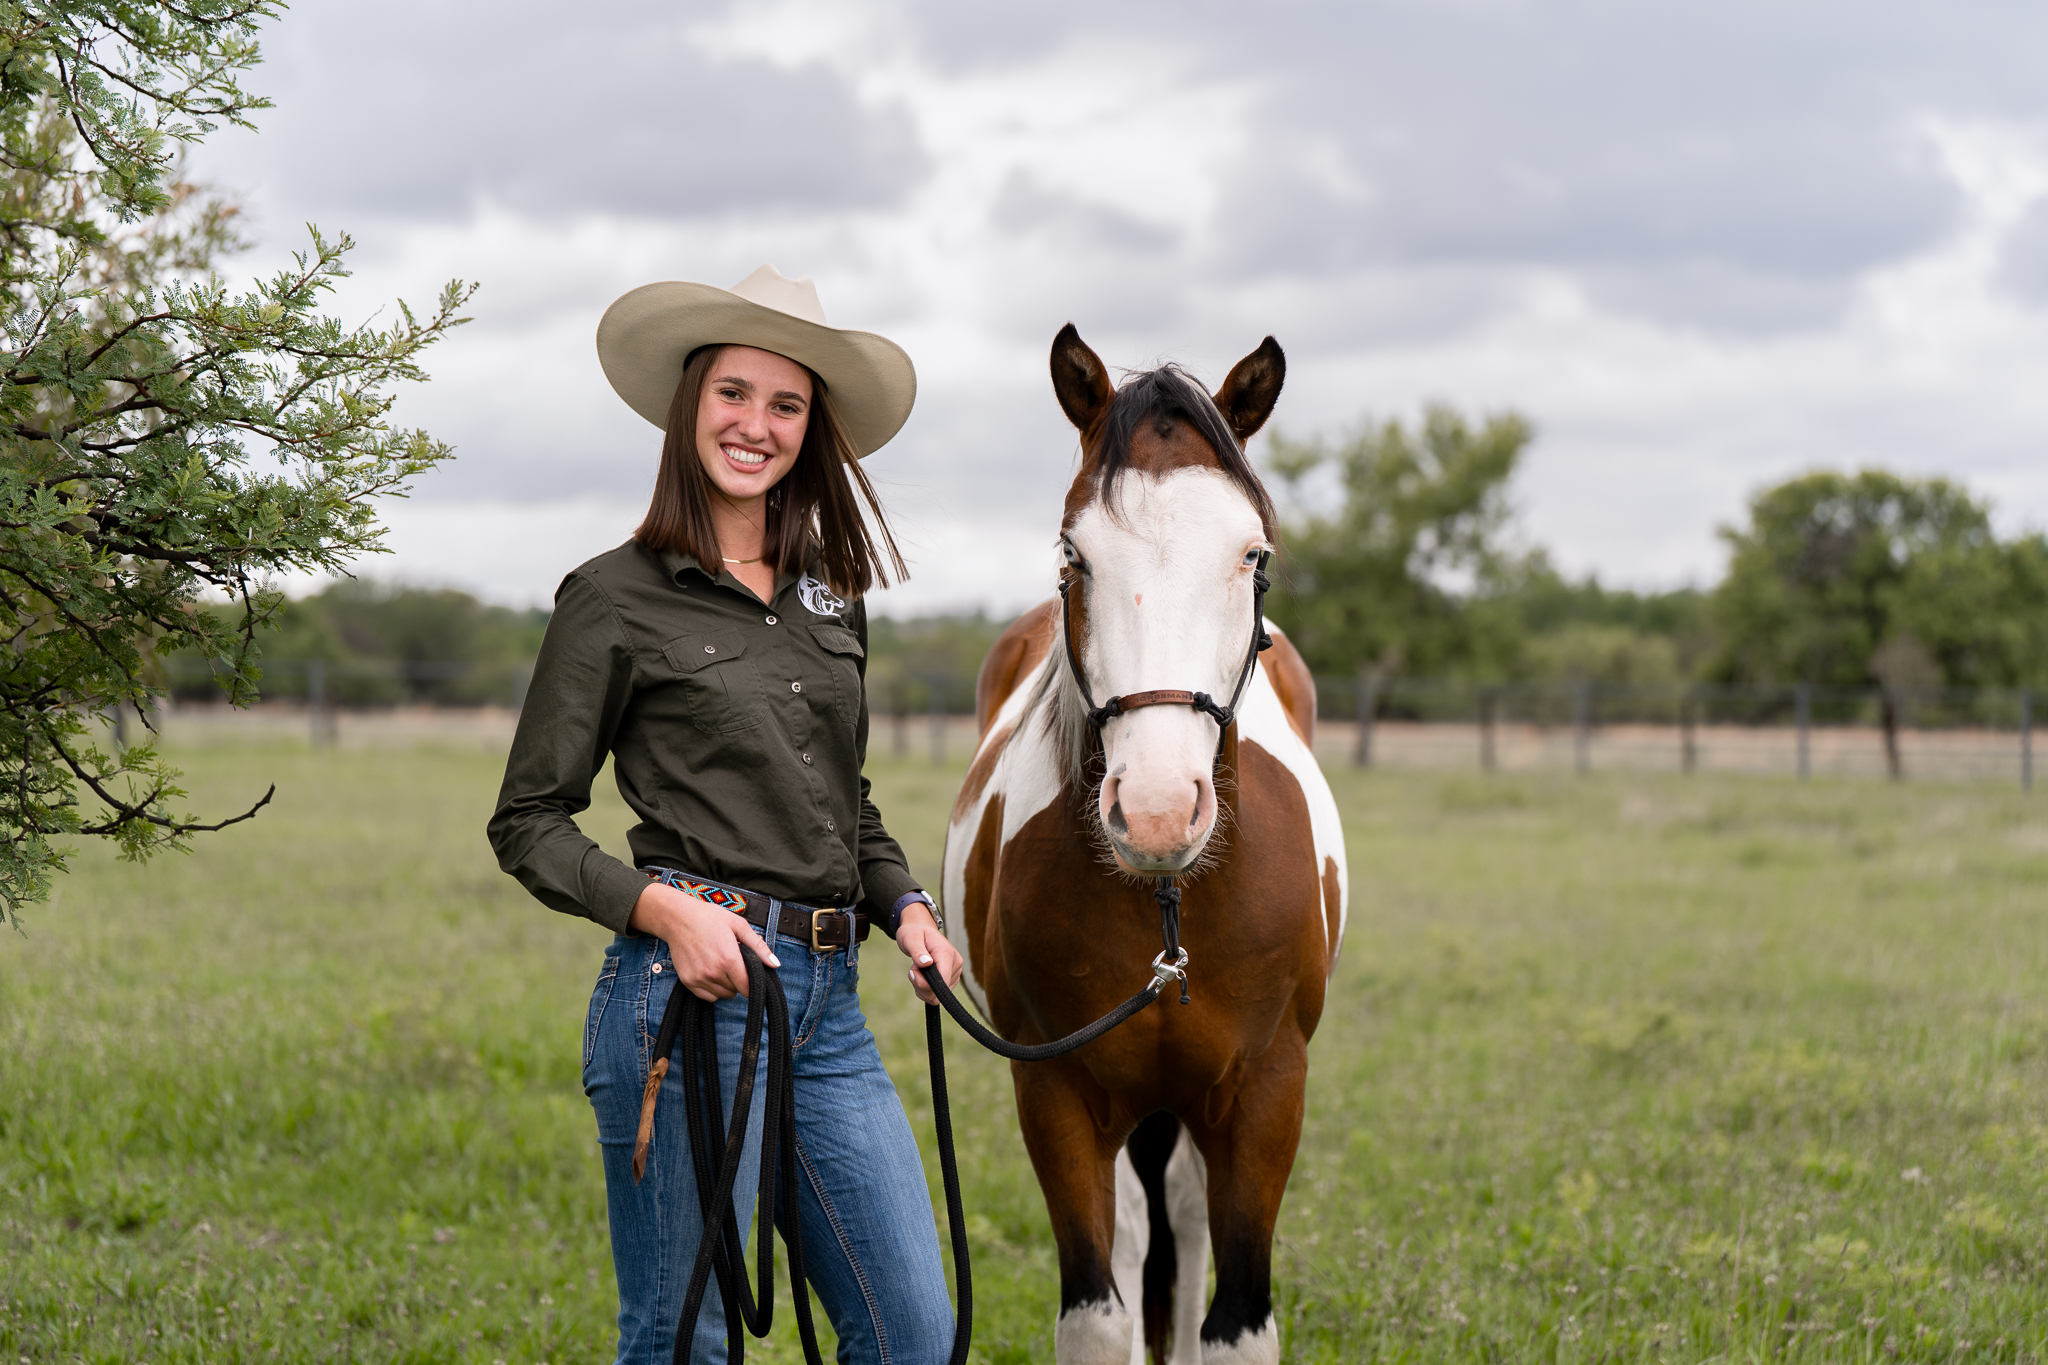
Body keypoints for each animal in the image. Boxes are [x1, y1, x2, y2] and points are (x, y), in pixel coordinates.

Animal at [940, 325, 1347, 1364]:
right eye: (1072, 551)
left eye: (1252, 553)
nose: (1159, 810)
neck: (1169, 900)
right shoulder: (1058, 1091)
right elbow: (1098, 1309)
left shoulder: (1268, 1092)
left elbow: (1237, 1323)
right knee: (1133, 1231)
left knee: (1188, 1219)